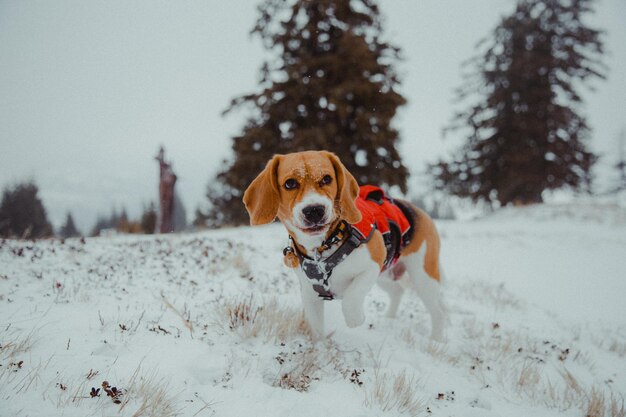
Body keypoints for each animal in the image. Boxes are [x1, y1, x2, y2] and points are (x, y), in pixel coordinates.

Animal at [243, 151, 444, 340]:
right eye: (290, 183)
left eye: (327, 179)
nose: (314, 210)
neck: (323, 248)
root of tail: (418, 210)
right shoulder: (310, 294)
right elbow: (316, 328)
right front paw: (321, 347)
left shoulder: (372, 265)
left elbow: (350, 298)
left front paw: (356, 319)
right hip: (386, 275)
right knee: (397, 291)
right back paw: (390, 318)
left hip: (422, 277)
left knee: (437, 310)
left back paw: (436, 339)